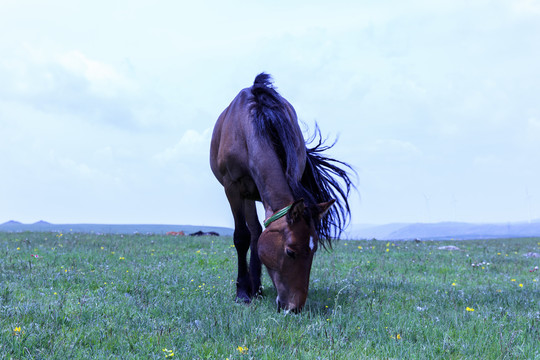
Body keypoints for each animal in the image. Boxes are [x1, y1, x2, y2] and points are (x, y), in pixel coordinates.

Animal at [211, 73, 354, 312]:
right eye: (290, 252)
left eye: (314, 251)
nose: (294, 307)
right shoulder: (233, 189)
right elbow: (241, 236)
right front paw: (242, 293)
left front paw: (253, 289)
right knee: (253, 232)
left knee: (257, 232)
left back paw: (257, 288)